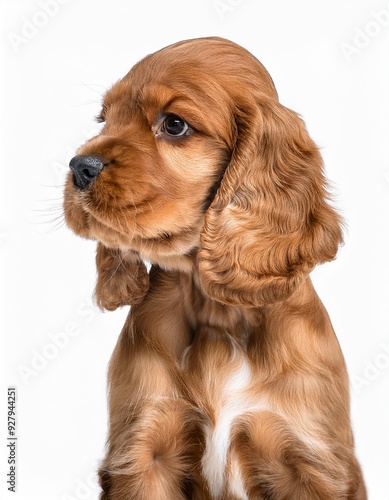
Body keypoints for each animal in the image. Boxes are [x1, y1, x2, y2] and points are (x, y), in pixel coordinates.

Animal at [64, 37, 366, 498]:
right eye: (104, 118)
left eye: (174, 125)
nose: (80, 167)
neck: (218, 313)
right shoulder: (144, 448)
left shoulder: (311, 458)